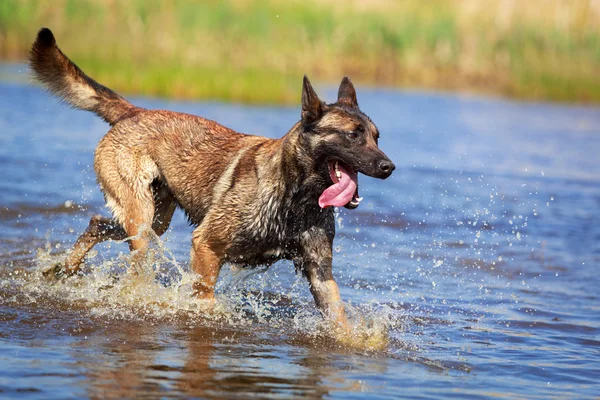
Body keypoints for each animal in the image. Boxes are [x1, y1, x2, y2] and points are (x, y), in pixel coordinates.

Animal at [29, 28, 394, 328]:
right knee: (134, 264)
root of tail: (135, 112)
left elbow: (339, 320)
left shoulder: (319, 272)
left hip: (154, 219)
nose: (389, 167)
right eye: (352, 135)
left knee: (96, 223)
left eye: (377, 137)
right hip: (142, 220)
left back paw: (64, 269)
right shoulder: (205, 244)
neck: (295, 197)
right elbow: (204, 295)